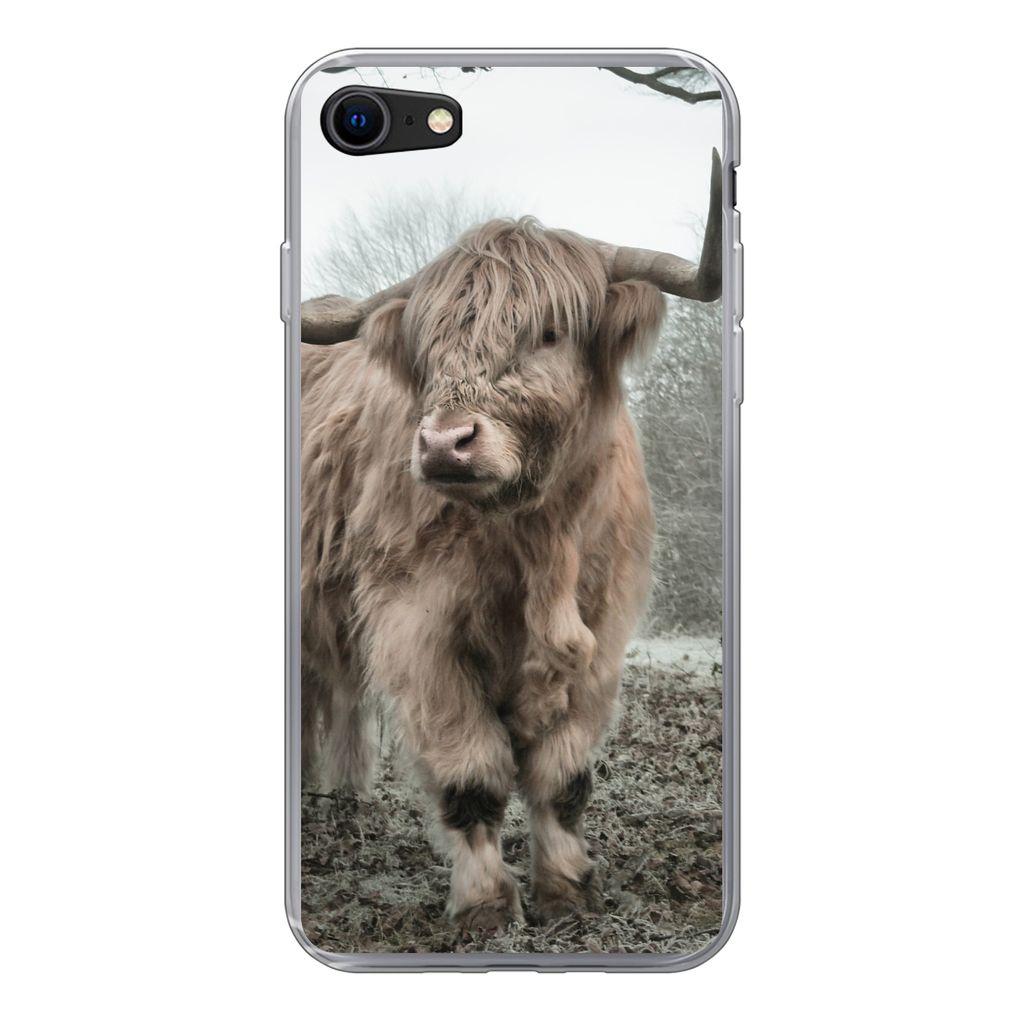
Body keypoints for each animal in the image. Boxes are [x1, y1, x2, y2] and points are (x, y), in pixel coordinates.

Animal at [299, 152, 722, 933]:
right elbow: (472, 776)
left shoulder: (603, 634)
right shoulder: (418, 632)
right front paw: (486, 906)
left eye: (550, 332)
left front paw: (568, 890)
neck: (537, 542)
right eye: (429, 344)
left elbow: (563, 778)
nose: (444, 444)